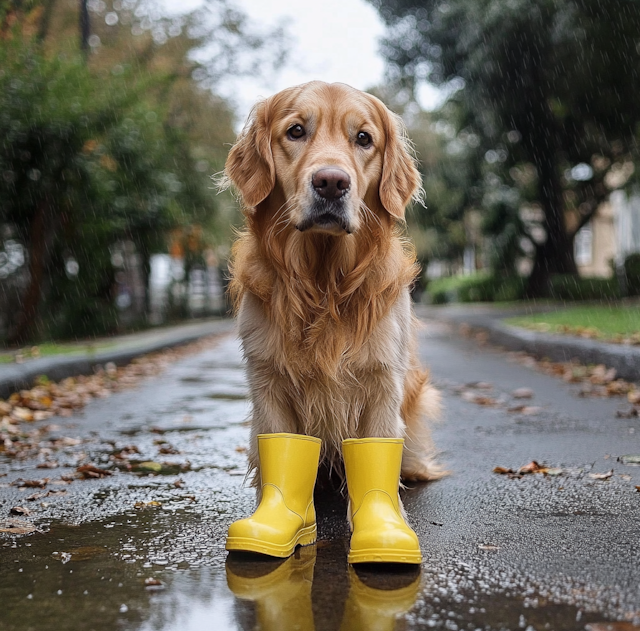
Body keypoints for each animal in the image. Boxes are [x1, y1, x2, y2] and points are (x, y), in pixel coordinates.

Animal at [220, 81, 444, 486]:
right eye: (295, 131)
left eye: (364, 138)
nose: (331, 183)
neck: (323, 283)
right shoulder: (267, 380)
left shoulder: (383, 381)